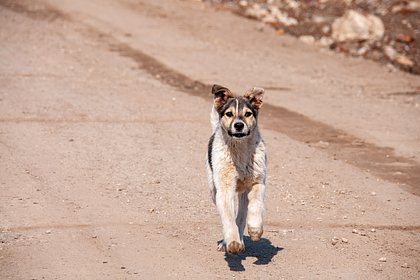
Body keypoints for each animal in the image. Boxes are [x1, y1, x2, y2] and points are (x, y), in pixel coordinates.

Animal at [206, 84, 266, 255]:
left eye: (248, 114)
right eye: (229, 114)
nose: (238, 125)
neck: (239, 152)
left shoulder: (258, 182)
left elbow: (256, 205)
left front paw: (255, 229)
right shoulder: (224, 189)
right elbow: (228, 217)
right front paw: (232, 242)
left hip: (244, 193)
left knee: (242, 215)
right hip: (213, 190)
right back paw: (227, 242)